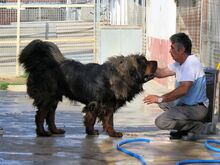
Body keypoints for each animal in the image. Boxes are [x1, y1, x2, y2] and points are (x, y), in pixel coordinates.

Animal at [18, 39, 156, 137]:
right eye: (145, 63)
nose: (156, 62)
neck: (119, 76)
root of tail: (40, 64)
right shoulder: (104, 104)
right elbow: (108, 120)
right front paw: (113, 133)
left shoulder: (95, 104)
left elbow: (91, 118)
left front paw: (91, 132)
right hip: (47, 97)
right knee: (41, 115)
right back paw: (42, 133)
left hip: (54, 98)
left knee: (50, 115)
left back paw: (55, 130)